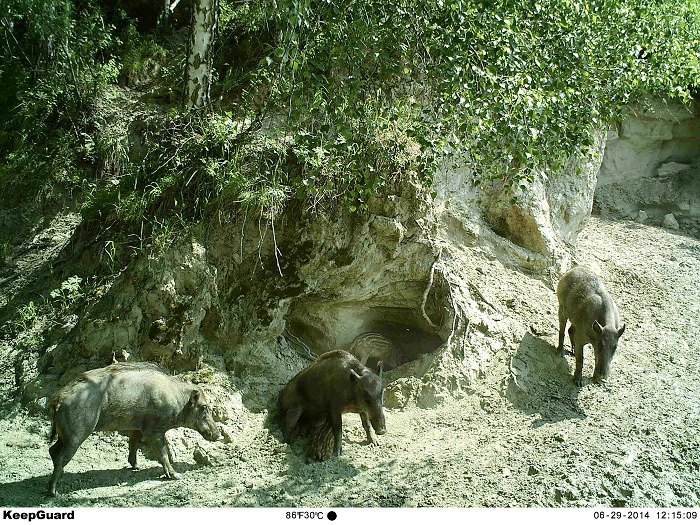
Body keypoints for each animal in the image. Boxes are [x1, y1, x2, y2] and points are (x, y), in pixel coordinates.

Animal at [47, 362, 220, 496]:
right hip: (76, 436)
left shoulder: (137, 428)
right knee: (60, 457)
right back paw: (54, 492)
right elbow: (163, 453)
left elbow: (133, 445)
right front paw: (176, 475)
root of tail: (57, 400)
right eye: (204, 407)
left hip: (64, 436)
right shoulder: (154, 430)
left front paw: (137, 467)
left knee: (52, 450)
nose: (217, 435)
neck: (177, 400)